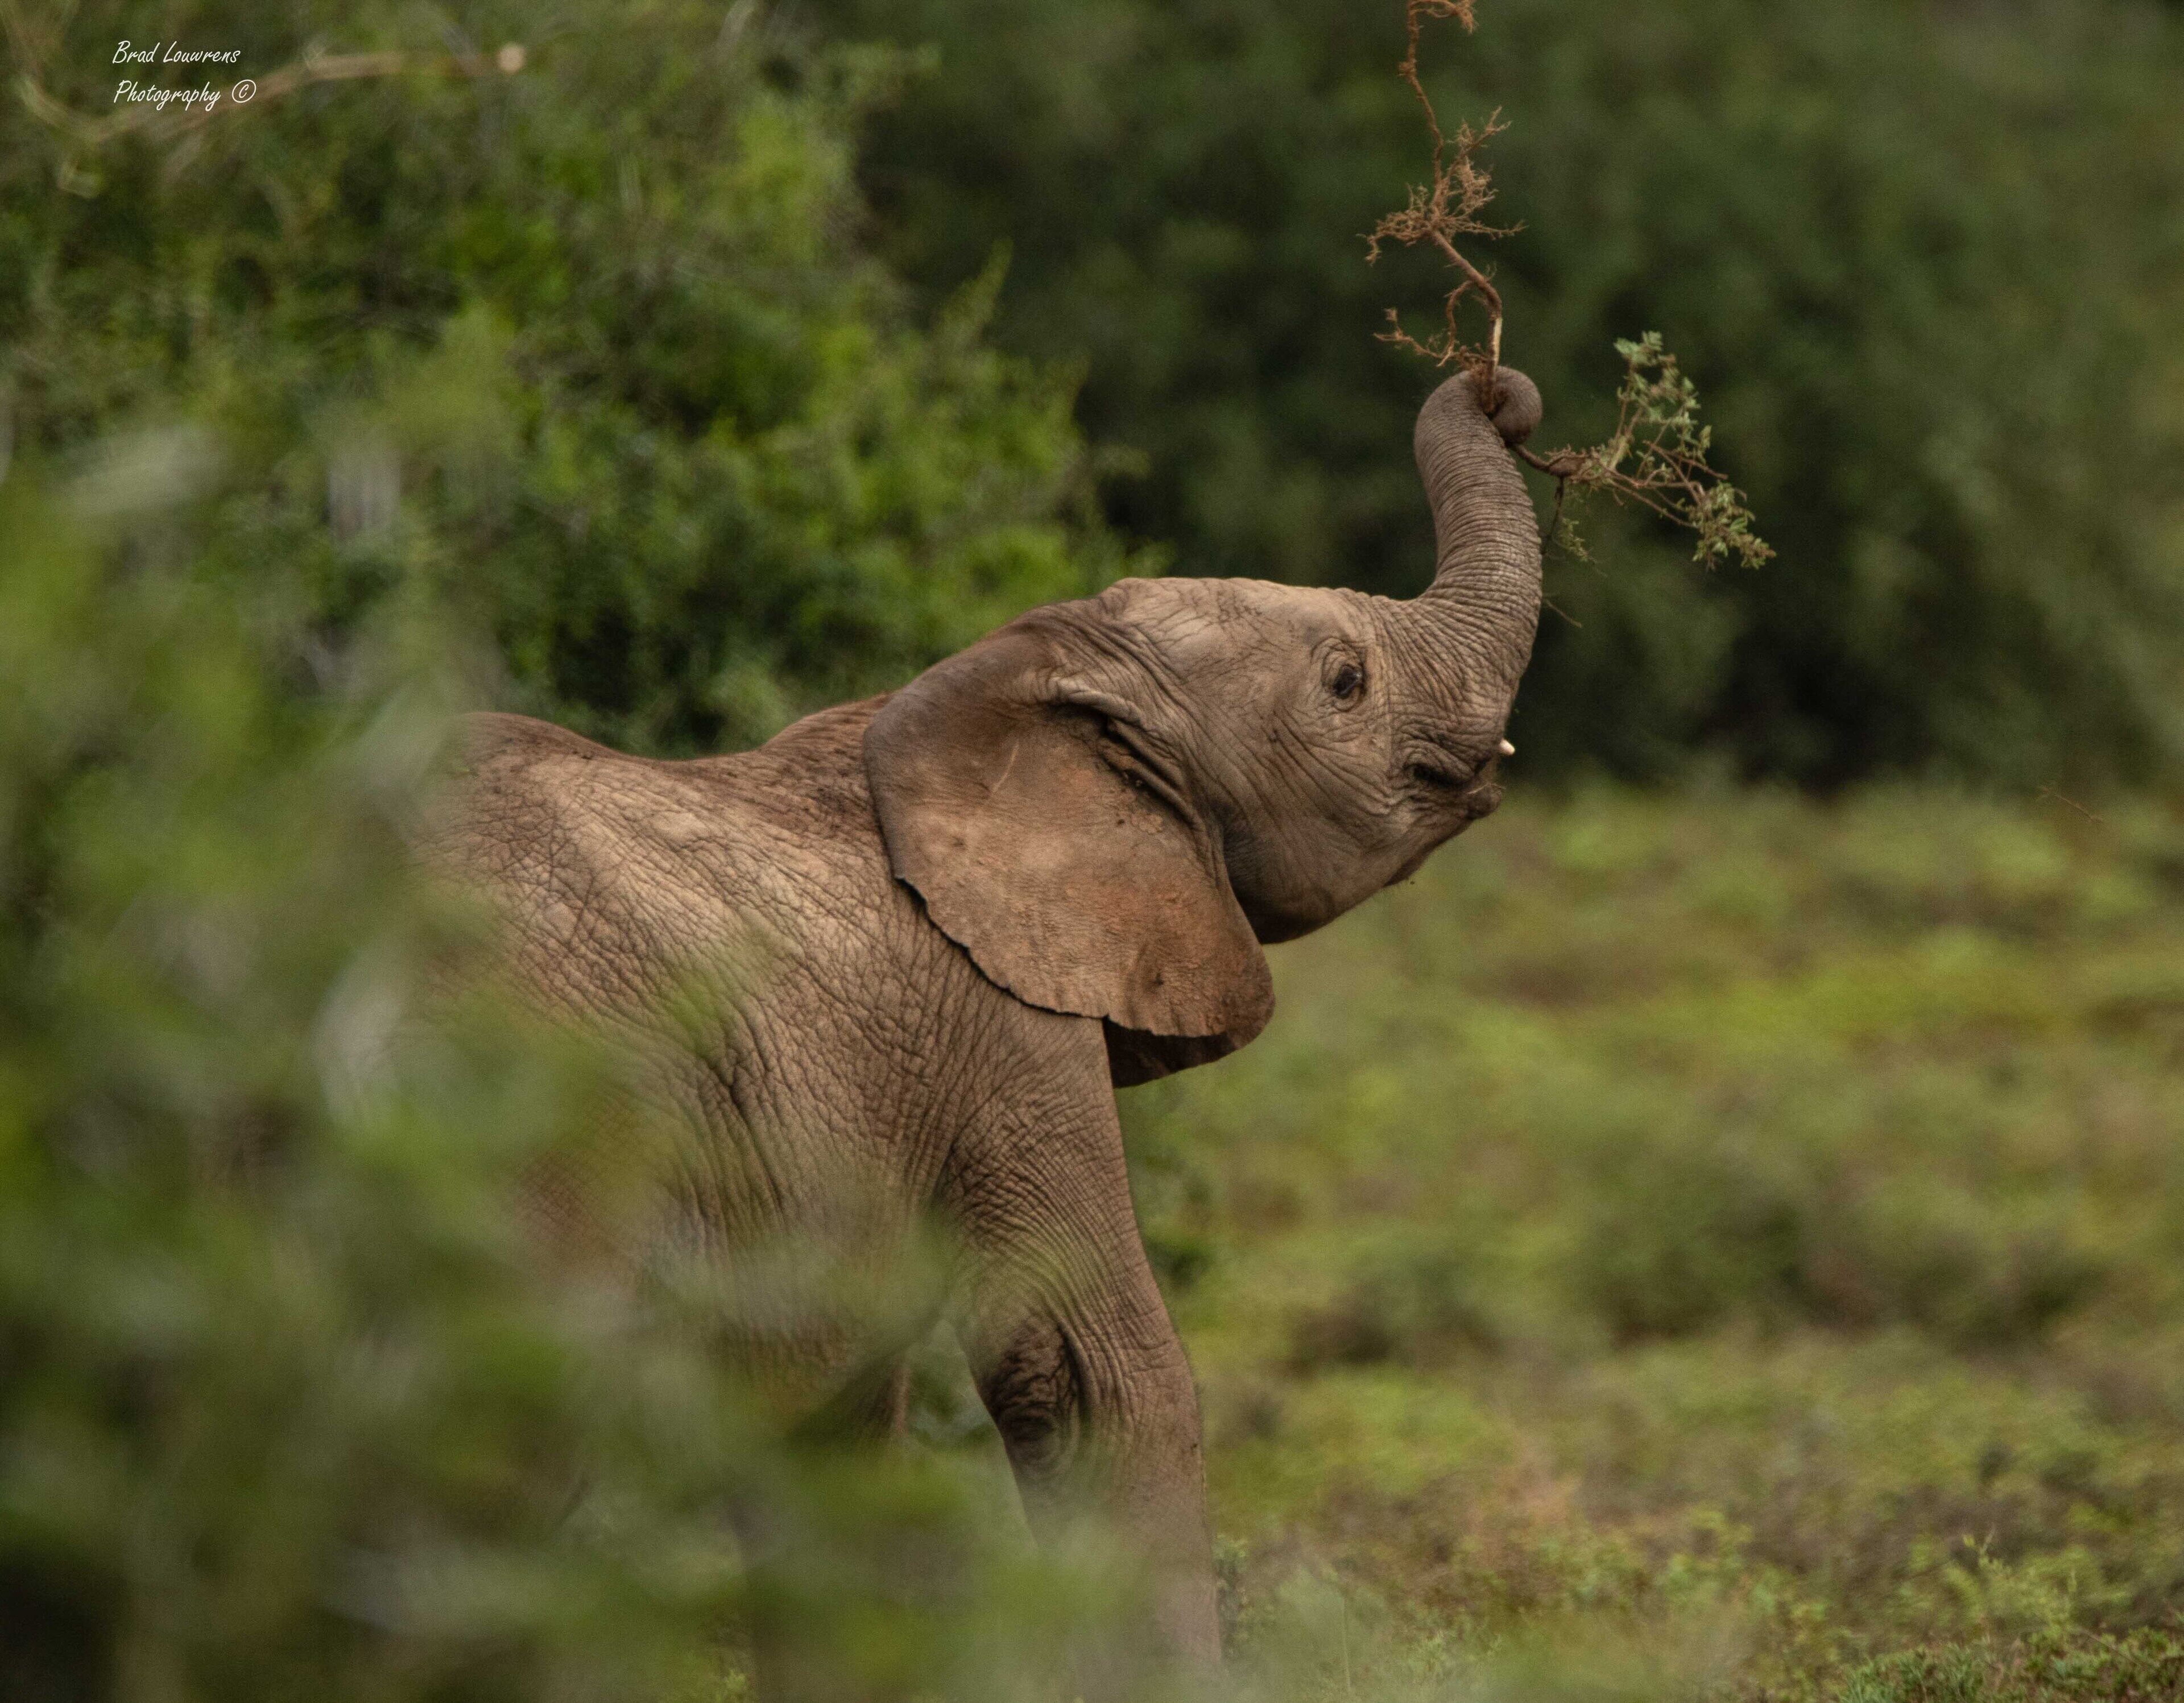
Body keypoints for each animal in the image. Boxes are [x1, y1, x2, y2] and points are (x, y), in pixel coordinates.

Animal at [428, 364, 1546, 1693]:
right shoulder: (1005, 1023)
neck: (1022, 675)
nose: (1501, 388)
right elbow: (1094, 1378)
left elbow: (838, 1442)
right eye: (1344, 682)